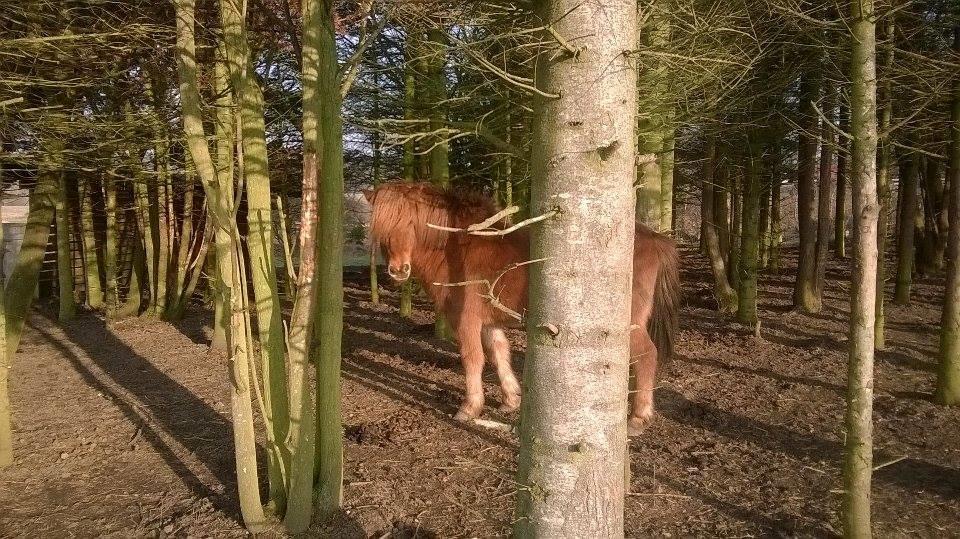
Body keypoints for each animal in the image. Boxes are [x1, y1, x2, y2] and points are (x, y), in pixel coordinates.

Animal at [364, 181, 680, 434]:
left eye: (410, 222)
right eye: (382, 228)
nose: (398, 270)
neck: (455, 248)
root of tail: (655, 239)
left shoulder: (466, 320)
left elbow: (472, 359)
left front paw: (470, 408)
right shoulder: (490, 321)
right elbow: (498, 354)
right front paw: (511, 400)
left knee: (647, 356)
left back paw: (638, 417)